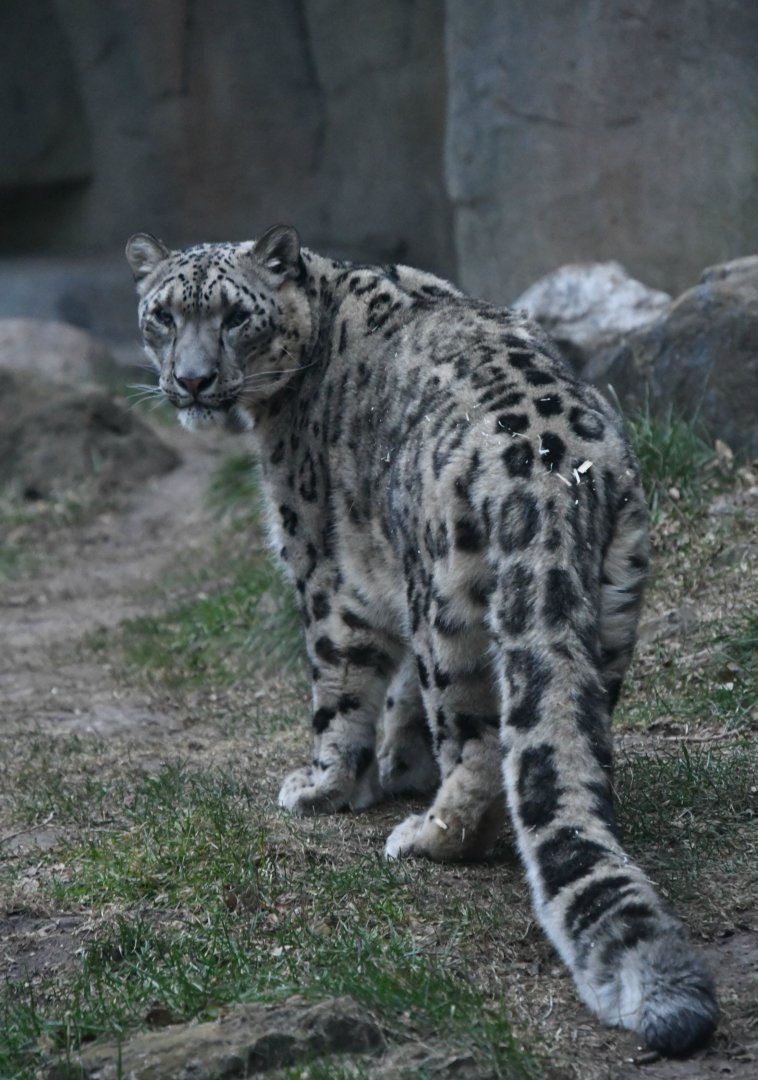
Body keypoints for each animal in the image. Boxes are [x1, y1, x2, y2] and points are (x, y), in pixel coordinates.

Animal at [126, 224, 718, 1055]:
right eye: (163, 316)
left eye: (234, 317)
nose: (193, 380)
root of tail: (552, 471)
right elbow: (397, 701)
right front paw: (395, 765)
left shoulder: (324, 573)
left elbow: (339, 694)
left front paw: (323, 784)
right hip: (613, 598)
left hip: (447, 608)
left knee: (475, 742)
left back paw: (429, 834)